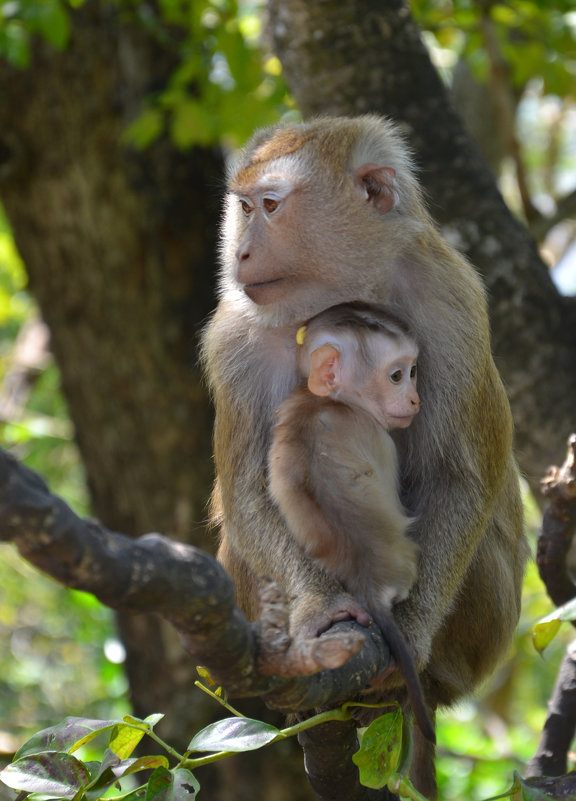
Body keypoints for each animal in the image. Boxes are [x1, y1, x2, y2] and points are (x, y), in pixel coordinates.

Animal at [270, 302, 436, 744]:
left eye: (413, 371)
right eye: (397, 375)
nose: (414, 398)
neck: (328, 401)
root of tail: (370, 583)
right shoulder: (380, 439)